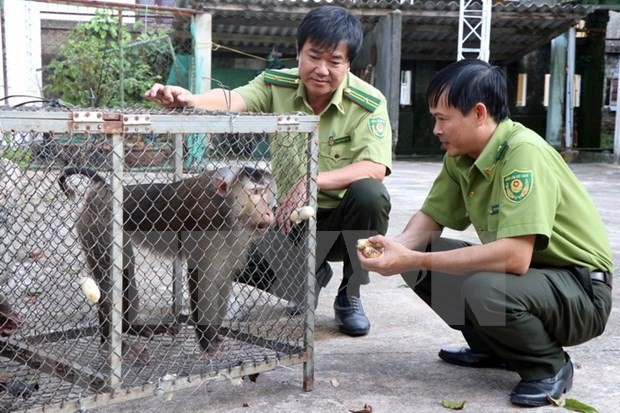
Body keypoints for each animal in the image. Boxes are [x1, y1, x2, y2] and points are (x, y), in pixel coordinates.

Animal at [58, 165, 276, 354]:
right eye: (255, 192)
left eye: (265, 191)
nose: (268, 211)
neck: (226, 206)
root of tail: (103, 193)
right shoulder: (206, 220)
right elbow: (203, 275)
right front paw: (206, 339)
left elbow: (222, 275)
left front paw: (213, 335)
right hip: (99, 227)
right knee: (111, 277)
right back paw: (111, 343)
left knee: (126, 267)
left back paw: (130, 327)